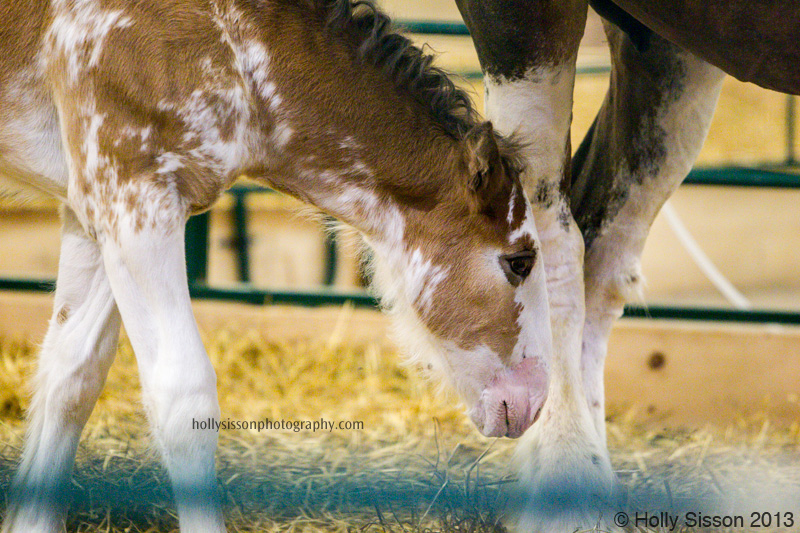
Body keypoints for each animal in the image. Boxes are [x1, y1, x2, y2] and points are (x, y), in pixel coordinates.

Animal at [0, 1, 558, 531]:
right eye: (520, 262)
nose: (532, 402)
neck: (232, 42)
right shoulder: (136, 198)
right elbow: (183, 396)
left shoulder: (94, 211)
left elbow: (70, 375)